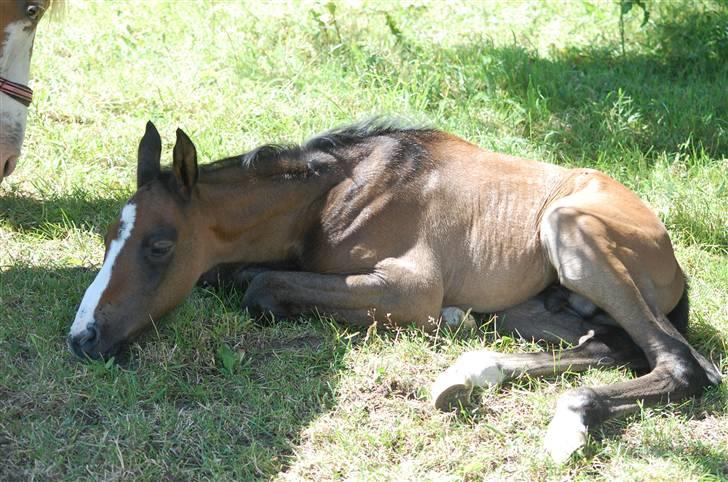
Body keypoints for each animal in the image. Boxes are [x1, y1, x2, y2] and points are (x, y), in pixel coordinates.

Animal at [69, 121, 724, 464]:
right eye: (105, 238)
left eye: (159, 245)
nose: (83, 338)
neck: (332, 196)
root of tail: (670, 252)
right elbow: (240, 275)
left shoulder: (412, 287)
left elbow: (261, 286)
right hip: (533, 306)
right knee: (608, 345)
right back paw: (470, 371)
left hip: (569, 229)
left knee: (680, 362)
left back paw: (568, 421)